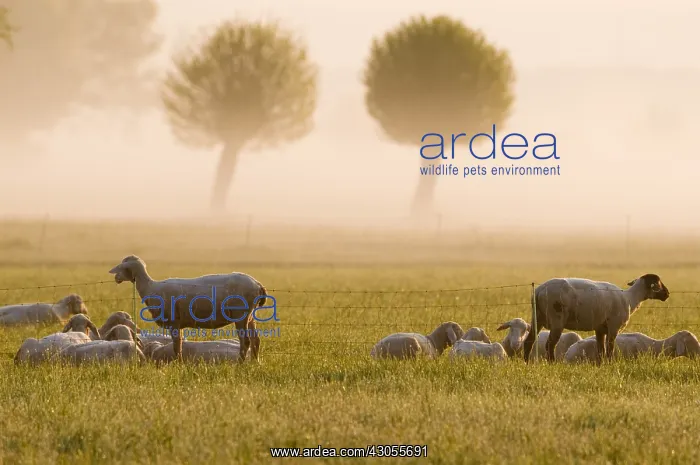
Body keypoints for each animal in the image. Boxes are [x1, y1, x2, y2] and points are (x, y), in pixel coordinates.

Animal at [109, 255, 268, 362]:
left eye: (122, 267)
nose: (116, 278)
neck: (150, 287)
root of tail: (257, 284)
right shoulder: (179, 324)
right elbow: (178, 345)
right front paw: (179, 363)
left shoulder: (174, 322)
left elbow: (176, 346)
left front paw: (178, 364)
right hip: (250, 316)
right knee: (256, 340)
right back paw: (255, 363)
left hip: (241, 314)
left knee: (246, 341)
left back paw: (241, 364)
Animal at [522, 273, 670, 365]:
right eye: (658, 283)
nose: (667, 294)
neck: (630, 298)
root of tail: (539, 291)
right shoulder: (613, 327)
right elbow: (610, 349)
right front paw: (610, 365)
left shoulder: (600, 329)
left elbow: (601, 351)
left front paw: (601, 365)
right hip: (556, 318)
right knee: (550, 344)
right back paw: (552, 363)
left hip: (538, 317)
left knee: (529, 341)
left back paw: (526, 363)